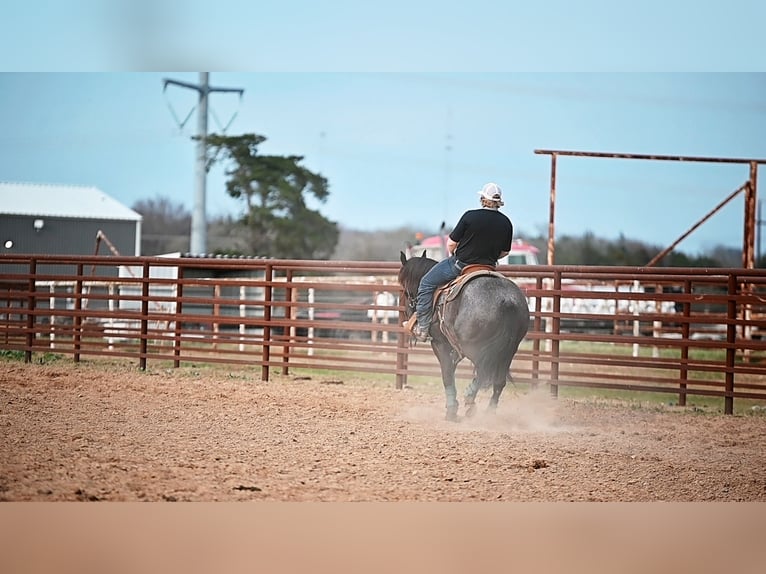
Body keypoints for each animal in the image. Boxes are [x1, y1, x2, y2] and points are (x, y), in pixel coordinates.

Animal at [398, 251, 530, 421]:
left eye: (404, 290)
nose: (409, 313)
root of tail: (507, 300)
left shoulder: (440, 344)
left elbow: (447, 374)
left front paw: (451, 410)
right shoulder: (454, 347)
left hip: (475, 347)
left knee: (482, 371)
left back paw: (470, 400)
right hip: (508, 349)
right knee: (498, 381)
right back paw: (488, 413)